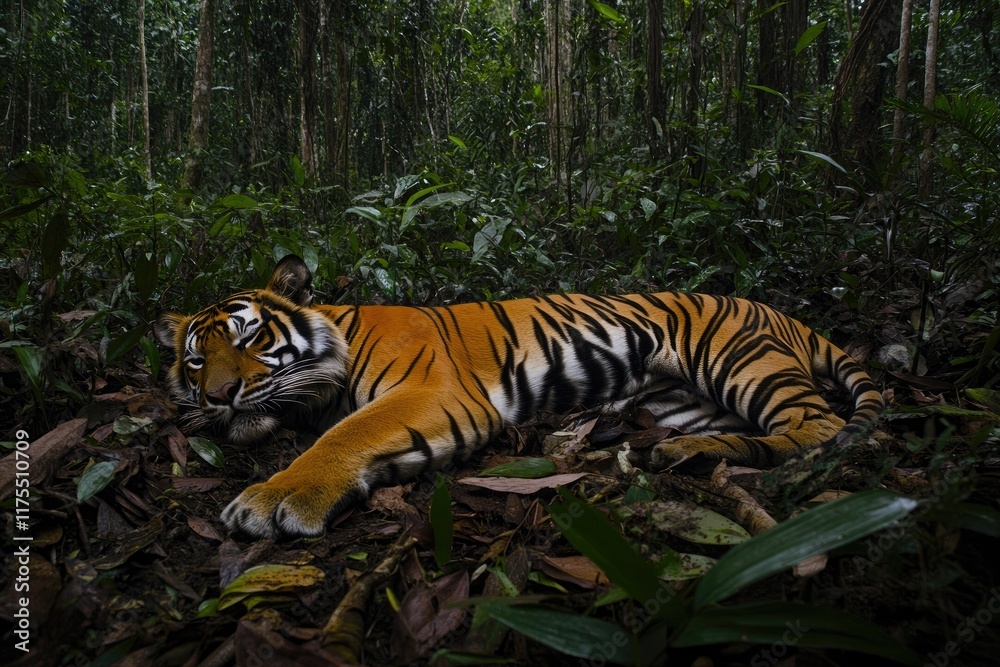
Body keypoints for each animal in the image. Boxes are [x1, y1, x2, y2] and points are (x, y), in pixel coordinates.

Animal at [154, 255, 883, 539]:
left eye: (251, 337)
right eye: (196, 359)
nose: (219, 394)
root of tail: (775, 310)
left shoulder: (433, 391)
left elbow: (346, 435)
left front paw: (272, 500)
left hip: (736, 358)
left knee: (819, 425)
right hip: (686, 398)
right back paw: (688, 453)